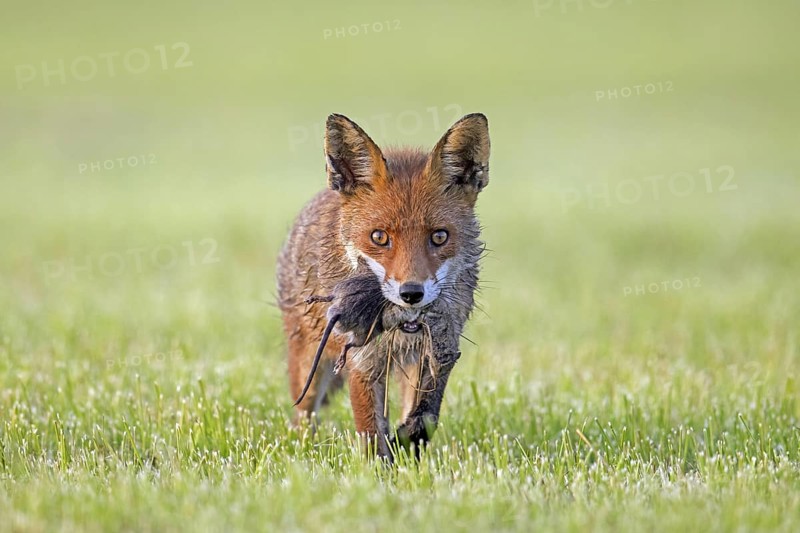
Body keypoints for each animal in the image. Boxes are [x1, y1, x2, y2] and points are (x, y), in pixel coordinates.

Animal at [276, 112, 490, 458]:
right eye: (379, 237)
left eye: (439, 236)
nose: (411, 293)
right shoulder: (362, 361)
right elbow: (370, 433)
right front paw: (380, 468)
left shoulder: (436, 353)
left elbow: (425, 417)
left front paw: (407, 444)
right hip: (309, 360)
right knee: (304, 415)